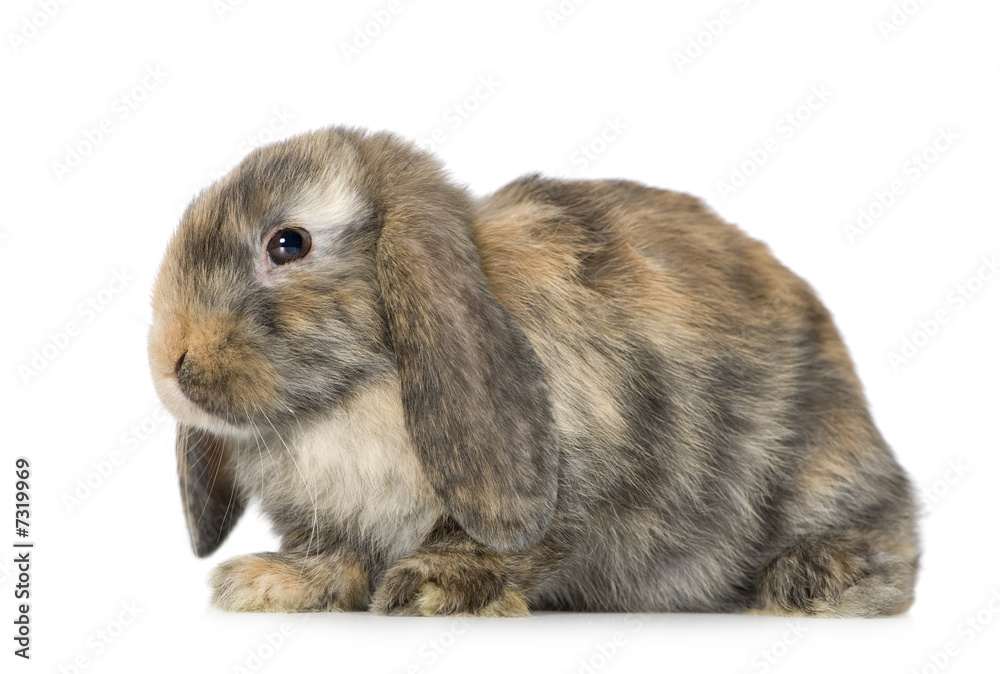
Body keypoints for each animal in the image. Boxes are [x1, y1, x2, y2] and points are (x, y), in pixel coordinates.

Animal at [147, 125, 919, 617]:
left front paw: (429, 588)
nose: (171, 363)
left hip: (821, 468)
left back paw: (810, 581)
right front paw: (270, 583)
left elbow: (510, 543)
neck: (351, 394)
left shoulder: (583, 469)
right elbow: (335, 555)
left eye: (288, 243)